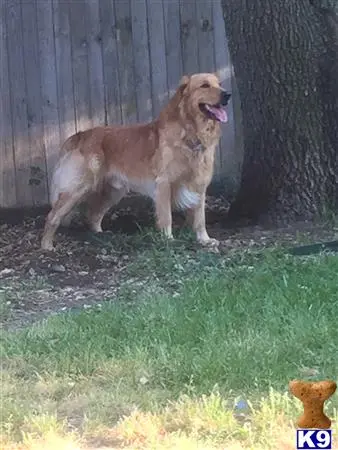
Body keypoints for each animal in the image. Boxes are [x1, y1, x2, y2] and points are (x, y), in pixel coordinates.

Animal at [39, 72, 230, 251]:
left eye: (219, 84)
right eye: (204, 85)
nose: (228, 94)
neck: (191, 132)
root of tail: (80, 135)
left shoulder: (199, 183)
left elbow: (200, 218)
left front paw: (204, 239)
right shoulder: (164, 184)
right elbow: (166, 217)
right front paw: (168, 240)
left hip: (114, 191)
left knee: (93, 214)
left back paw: (101, 235)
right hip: (78, 188)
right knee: (52, 216)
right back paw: (46, 246)